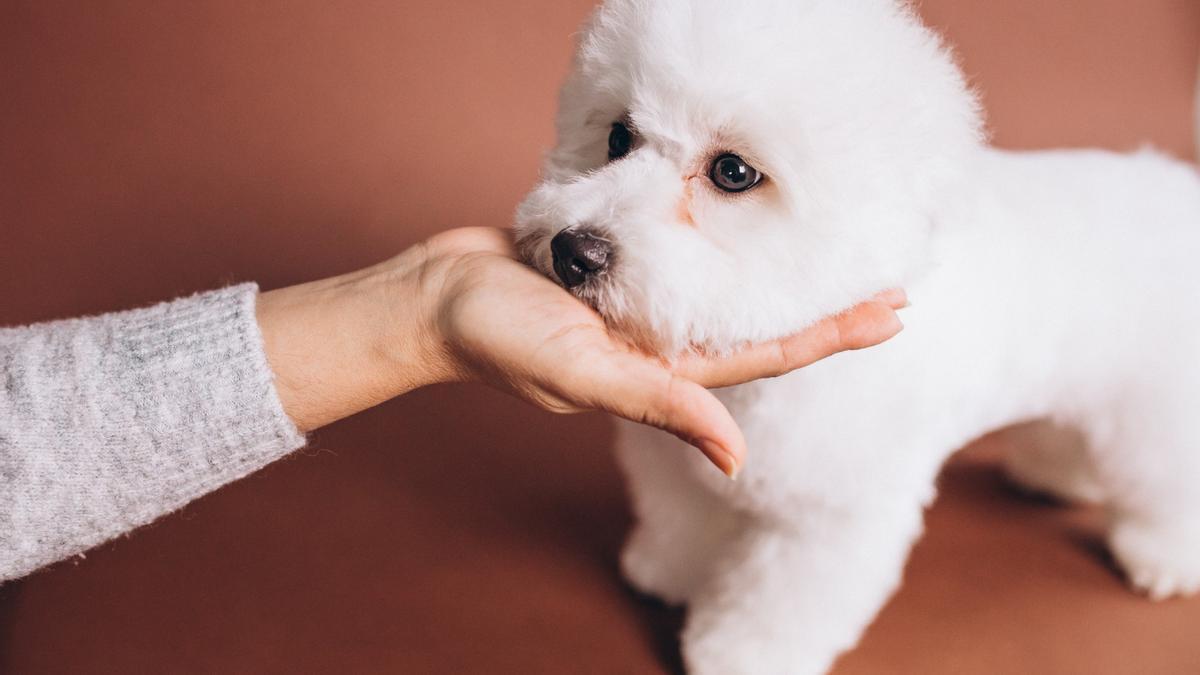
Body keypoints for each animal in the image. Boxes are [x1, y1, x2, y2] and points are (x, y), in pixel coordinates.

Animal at [513, 2, 1200, 667]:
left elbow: (780, 596)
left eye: (733, 172)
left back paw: (1163, 555)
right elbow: (684, 518)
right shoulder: (675, 459)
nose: (574, 252)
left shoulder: (831, 513)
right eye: (617, 137)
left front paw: (743, 651)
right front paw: (669, 570)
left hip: (1159, 410)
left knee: (1164, 479)